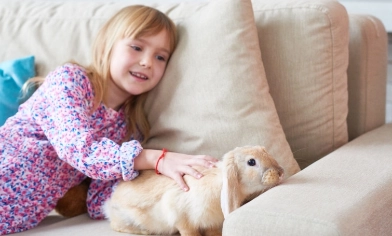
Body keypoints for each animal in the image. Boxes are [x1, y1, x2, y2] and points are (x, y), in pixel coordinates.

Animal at [102, 146, 284, 234]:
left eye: (265, 150)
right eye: (251, 162)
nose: (281, 172)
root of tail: (110, 203)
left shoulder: (211, 222)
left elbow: (212, 232)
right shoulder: (179, 215)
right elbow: (188, 231)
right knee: (116, 226)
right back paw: (143, 232)